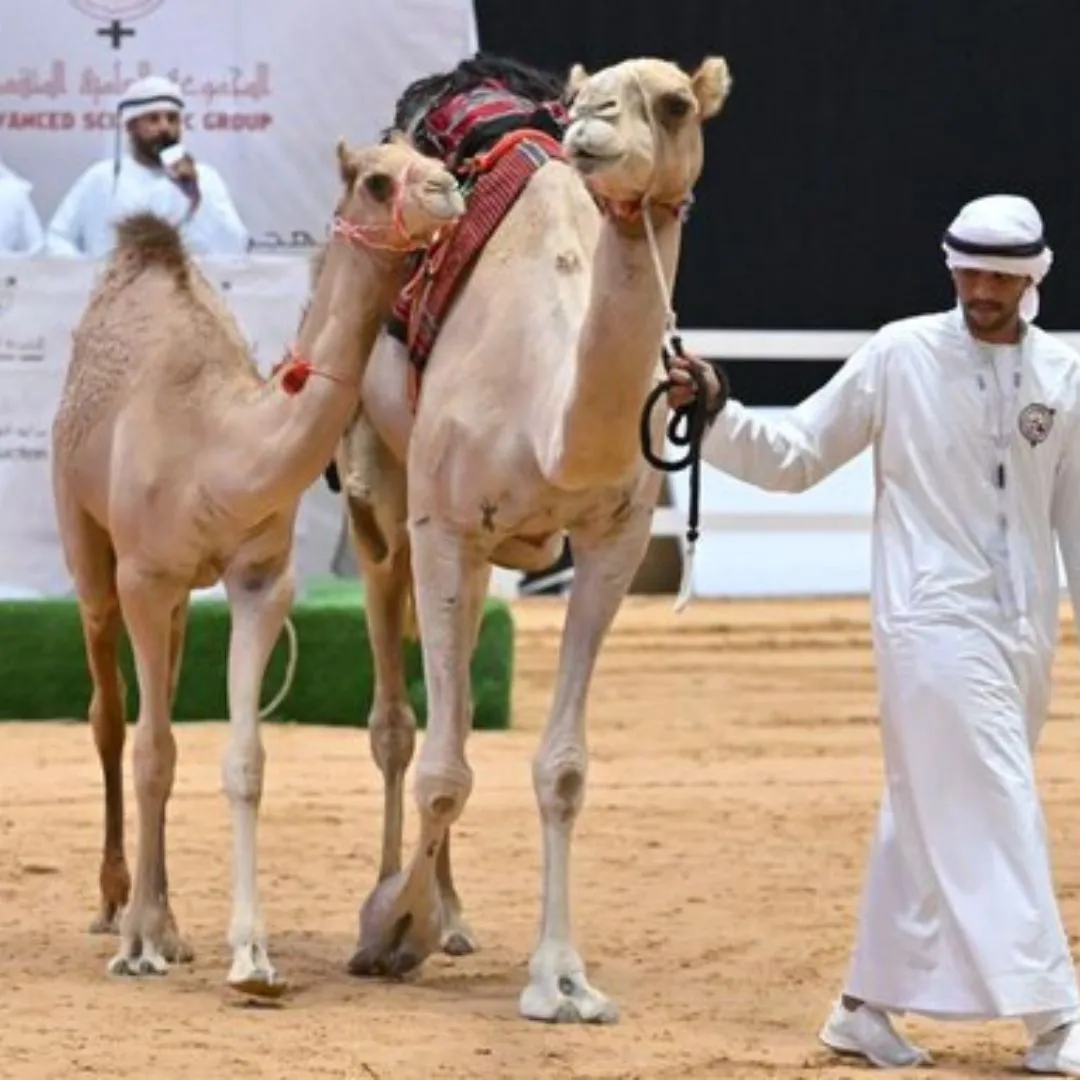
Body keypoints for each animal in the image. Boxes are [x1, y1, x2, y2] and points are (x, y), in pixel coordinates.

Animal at [50, 139, 464, 997]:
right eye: (378, 178)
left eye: (425, 155)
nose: (449, 188)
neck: (217, 448)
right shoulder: (144, 575)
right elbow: (150, 752)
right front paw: (137, 943)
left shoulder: (259, 580)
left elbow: (243, 759)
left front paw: (252, 959)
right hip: (89, 543)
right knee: (111, 714)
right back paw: (117, 907)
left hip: (177, 596)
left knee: (161, 701)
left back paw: (171, 924)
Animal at [334, 54, 725, 1019]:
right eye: (586, 100)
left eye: (675, 104)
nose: (593, 125)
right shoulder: (443, 523)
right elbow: (440, 768)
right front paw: (390, 928)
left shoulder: (615, 541)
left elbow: (563, 769)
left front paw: (562, 979)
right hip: (383, 496)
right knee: (401, 722)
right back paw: (404, 904)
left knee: (457, 710)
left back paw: (456, 915)